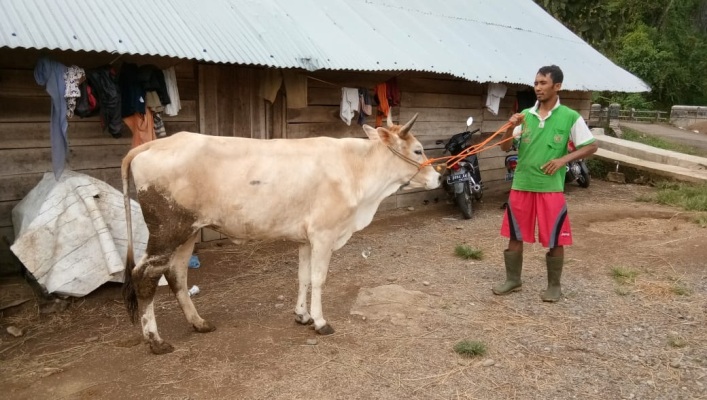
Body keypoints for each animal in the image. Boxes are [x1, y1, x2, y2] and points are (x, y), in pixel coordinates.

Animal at [121, 112, 442, 354]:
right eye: (418, 150)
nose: (439, 177)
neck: (357, 172)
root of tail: (154, 145)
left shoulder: (306, 238)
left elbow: (303, 276)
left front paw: (302, 315)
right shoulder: (324, 234)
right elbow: (319, 278)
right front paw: (321, 321)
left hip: (188, 232)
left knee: (177, 274)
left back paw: (199, 323)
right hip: (166, 231)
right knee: (145, 276)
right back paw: (156, 341)